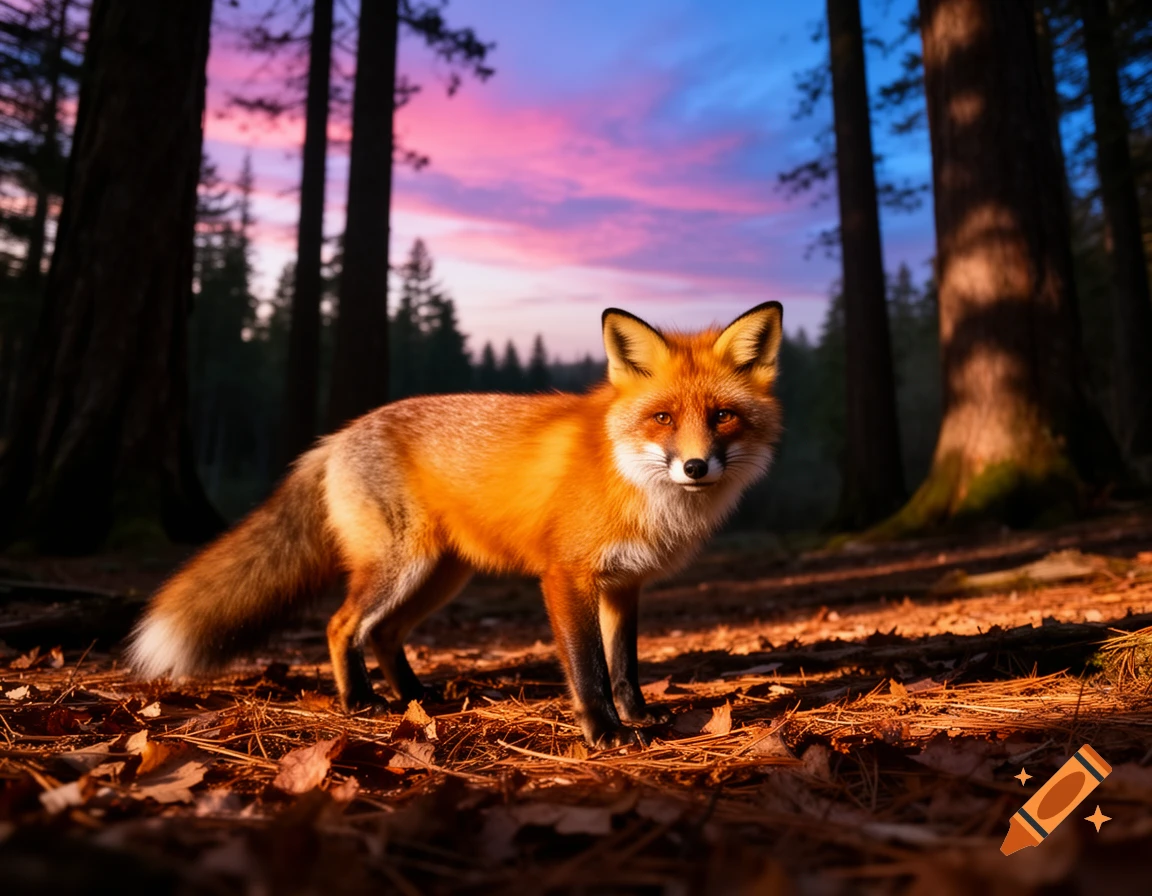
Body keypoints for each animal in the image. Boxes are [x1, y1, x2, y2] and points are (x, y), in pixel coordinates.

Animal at [126, 302, 784, 748]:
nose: (695, 466)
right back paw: (360, 701)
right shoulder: (566, 577)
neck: (631, 479)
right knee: (342, 626)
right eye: (663, 417)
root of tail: (338, 434)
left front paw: (641, 717)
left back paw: (416, 699)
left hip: (439, 577)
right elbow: (589, 669)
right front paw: (606, 733)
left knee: (384, 634)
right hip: (400, 567)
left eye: (723, 416)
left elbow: (625, 666)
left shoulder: (624, 584)